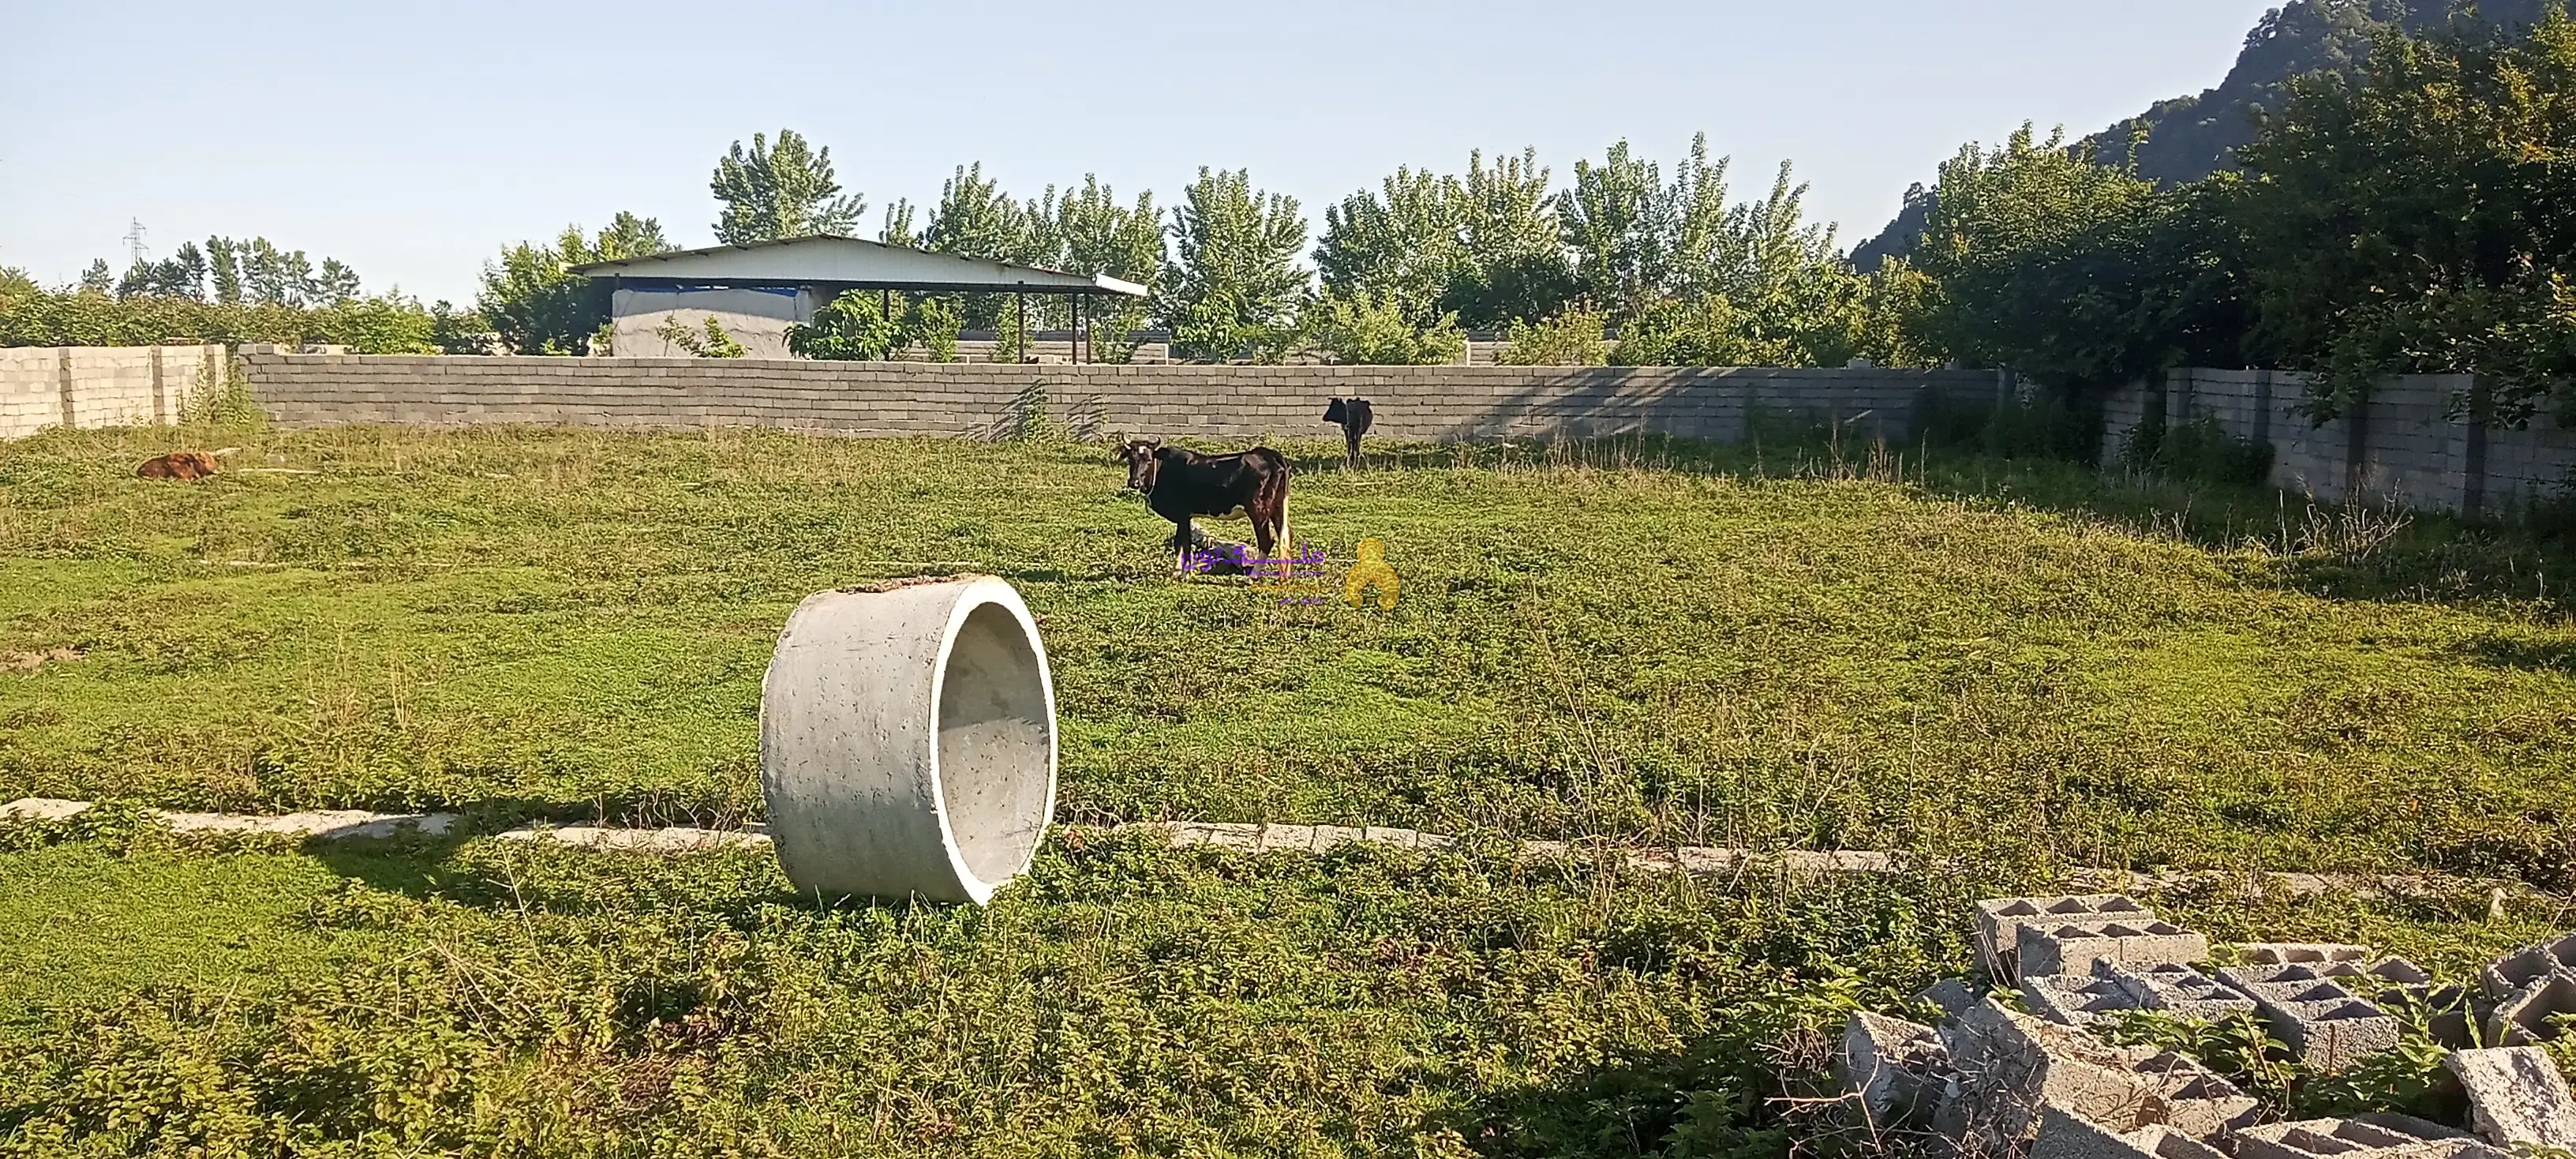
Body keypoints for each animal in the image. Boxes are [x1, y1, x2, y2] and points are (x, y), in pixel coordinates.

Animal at [1118, 440, 1298, 574]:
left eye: (1148, 460)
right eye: (1131, 459)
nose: (1134, 482)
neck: (1162, 470)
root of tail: (1269, 454)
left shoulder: (1182, 514)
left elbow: (1184, 544)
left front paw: (1183, 574)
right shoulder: (1185, 517)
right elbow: (1180, 543)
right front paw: (1177, 572)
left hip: (1259, 510)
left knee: (1267, 540)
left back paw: (1253, 576)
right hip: (1278, 506)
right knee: (1286, 535)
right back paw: (1285, 575)